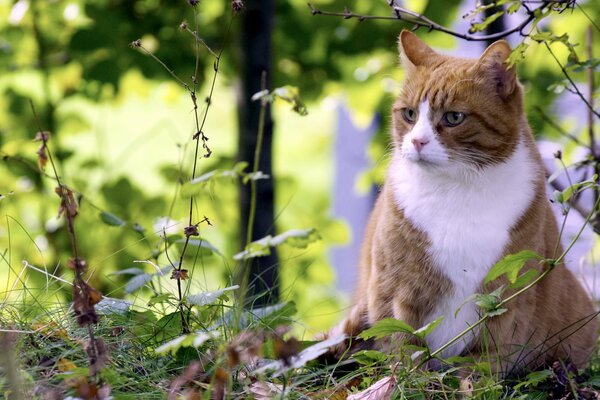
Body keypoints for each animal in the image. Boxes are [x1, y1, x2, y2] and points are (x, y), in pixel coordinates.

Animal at [330, 29, 596, 374]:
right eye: (410, 114)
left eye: (454, 117)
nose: (417, 141)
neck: (455, 189)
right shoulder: (394, 288)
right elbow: (403, 347)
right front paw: (409, 378)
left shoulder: (508, 294)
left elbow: (486, 359)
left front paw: (470, 380)